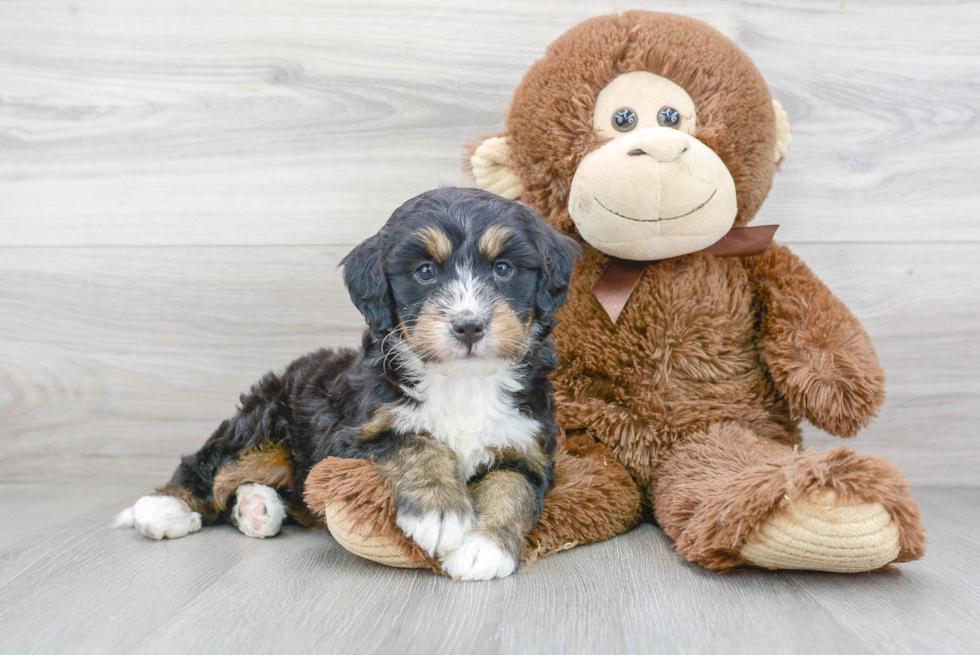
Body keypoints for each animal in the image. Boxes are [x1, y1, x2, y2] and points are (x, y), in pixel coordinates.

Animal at [116, 187, 580, 580]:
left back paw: (257, 508)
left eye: (503, 269)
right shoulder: (351, 436)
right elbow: (417, 441)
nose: (468, 326)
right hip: (267, 422)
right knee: (213, 463)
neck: (461, 381)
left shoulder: (526, 445)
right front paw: (440, 510)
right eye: (425, 272)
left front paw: (484, 549)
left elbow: (513, 489)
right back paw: (164, 508)